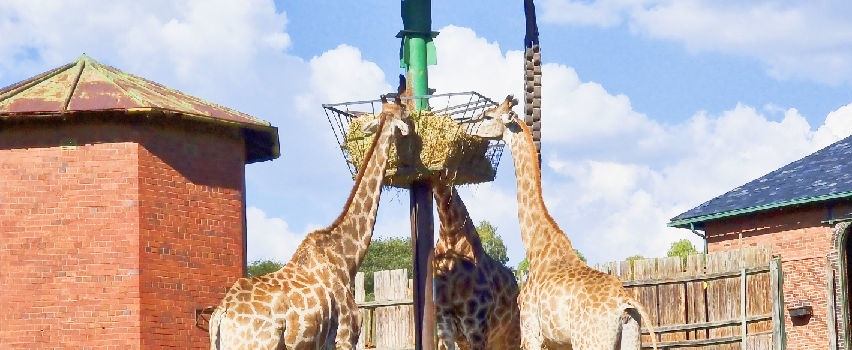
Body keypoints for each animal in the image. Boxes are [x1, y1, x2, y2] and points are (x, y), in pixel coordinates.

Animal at [208, 77, 412, 350]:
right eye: (405, 113)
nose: (415, 123)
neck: (346, 257)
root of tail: (221, 315)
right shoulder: (344, 336)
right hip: (259, 345)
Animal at [466, 96, 660, 350]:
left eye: (488, 116)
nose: (466, 127)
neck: (536, 248)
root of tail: (626, 304)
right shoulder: (557, 342)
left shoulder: (531, 333)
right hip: (630, 339)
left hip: (589, 342)